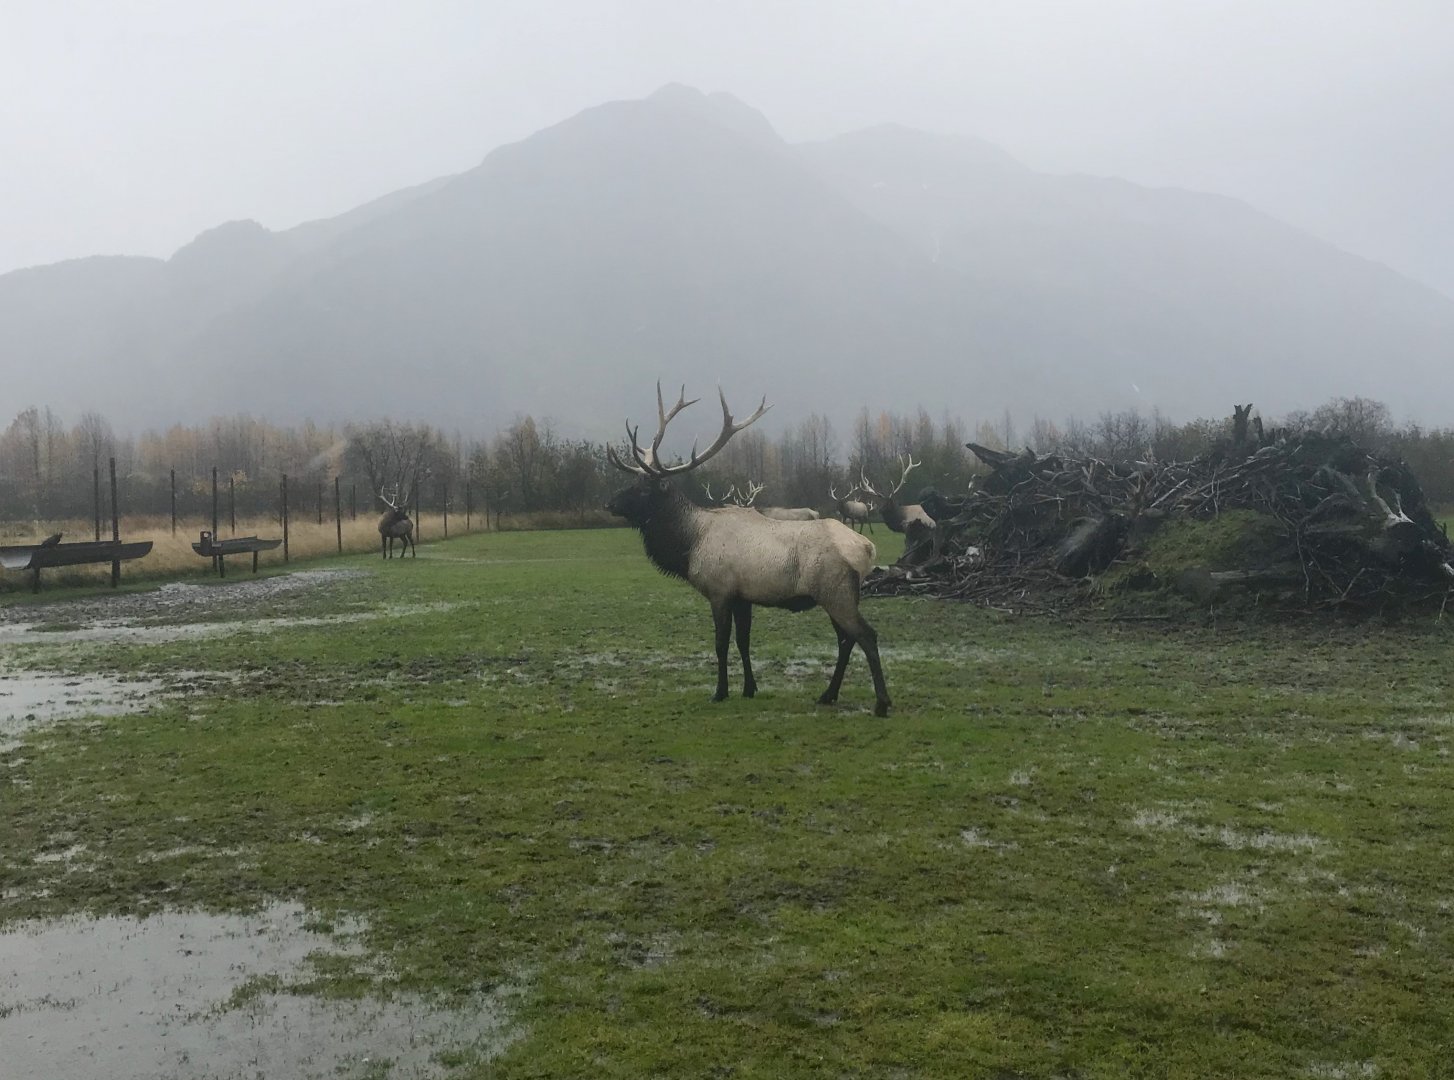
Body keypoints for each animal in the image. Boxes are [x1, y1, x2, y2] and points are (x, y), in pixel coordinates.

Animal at [605, 384, 892, 717]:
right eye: (632, 481)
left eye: (643, 488)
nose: (610, 503)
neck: (690, 543)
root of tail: (868, 548)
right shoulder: (743, 597)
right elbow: (743, 641)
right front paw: (749, 688)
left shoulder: (719, 591)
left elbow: (720, 643)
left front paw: (720, 692)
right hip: (839, 596)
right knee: (846, 640)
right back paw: (828, 694)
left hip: (836, 592)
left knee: (865, 635)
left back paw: (881, 703)